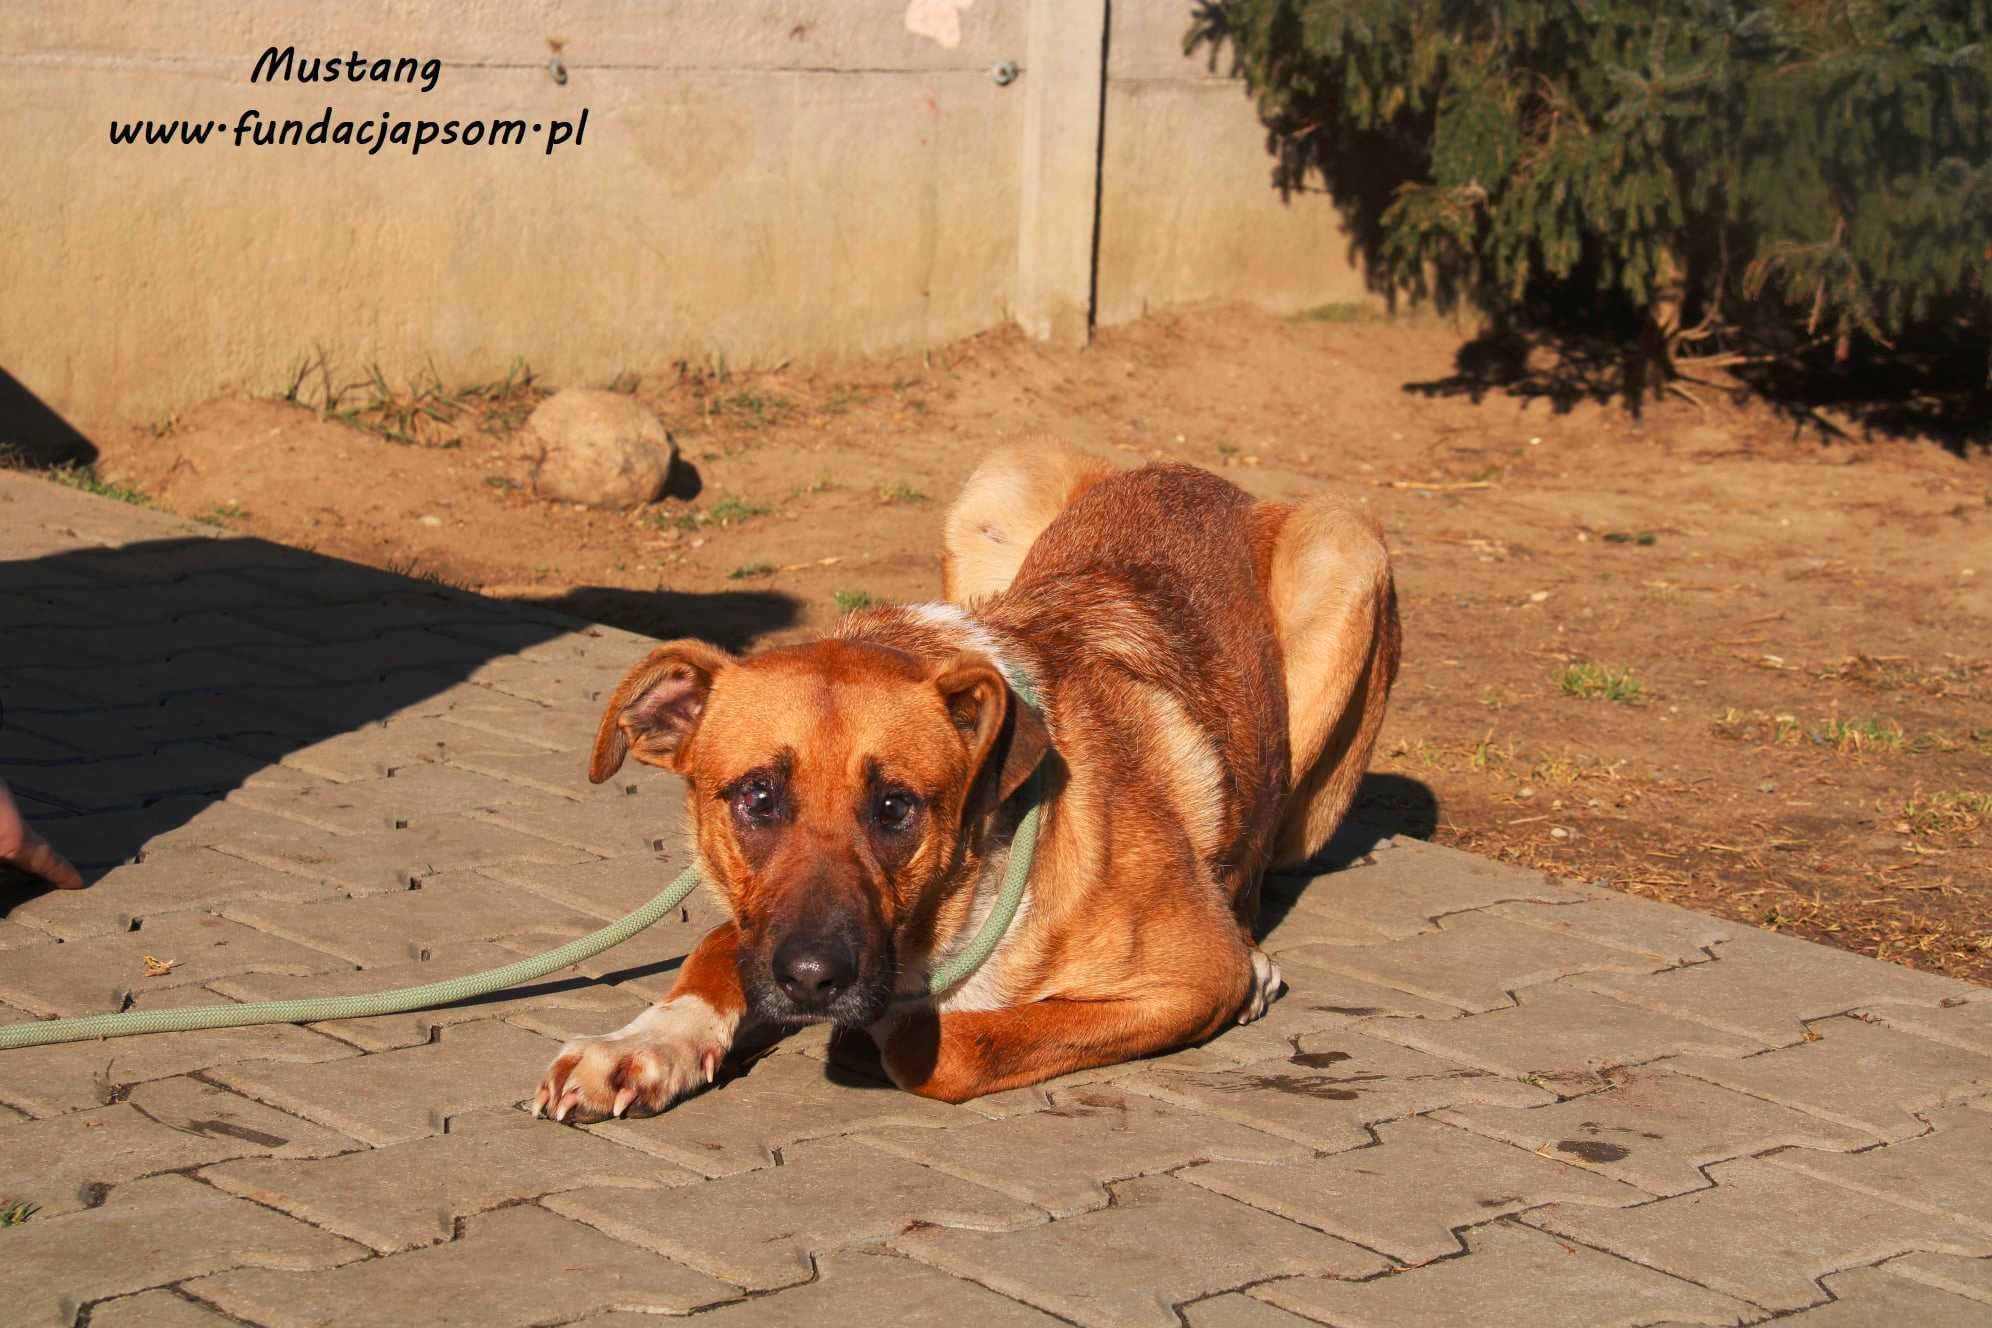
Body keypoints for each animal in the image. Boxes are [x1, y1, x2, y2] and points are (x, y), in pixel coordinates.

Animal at [533, 445, 1402, 1122]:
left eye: (896, 807)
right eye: (757, 798)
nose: (813, 981)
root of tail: (1199, 475)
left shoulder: (1193, 974)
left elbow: (937, 1045)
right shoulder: (761, 924)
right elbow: (716, 948)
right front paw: (641, 1043)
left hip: (1347, 554)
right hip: (997, 481)